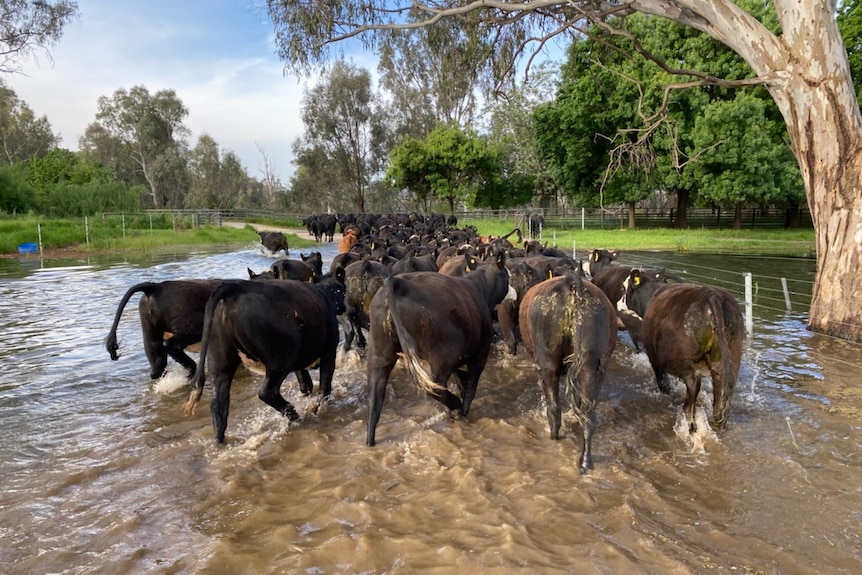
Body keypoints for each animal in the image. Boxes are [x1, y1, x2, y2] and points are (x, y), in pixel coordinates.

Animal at [185, 274, 348, 446]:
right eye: (342, 290)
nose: (345, 307)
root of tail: (235, 287)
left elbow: (305, 384)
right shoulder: (329, 352)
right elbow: (324, 387)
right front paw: (316, 409)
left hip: (220, 364)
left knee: (218, 406)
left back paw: (219, 441)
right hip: (279, 363)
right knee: (266, 392)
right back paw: (294, 415)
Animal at [366, 254, 516, 448]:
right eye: (508, 276)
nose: (514, 292)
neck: (479, 287)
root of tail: (396, 282)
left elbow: (462, 382)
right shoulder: (478, 356)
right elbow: (470, 387)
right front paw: (463, 411)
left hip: (379, 355)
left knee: (374, 398)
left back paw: (370, 441)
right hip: (440, 359)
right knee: (434, 387)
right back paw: (456, 405)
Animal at [520, 276, 620, 474]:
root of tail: (572, 283)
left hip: (548, 363)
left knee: (554, 408)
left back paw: (554, 439)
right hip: (592, 364)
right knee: (588, 415)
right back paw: (585, 462)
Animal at [628, 272, 748, 434]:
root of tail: (712, 295)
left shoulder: (655, 360)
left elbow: (664, 384)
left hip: (688, 366)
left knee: (690, 401)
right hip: (729, 361)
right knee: (721, 403)